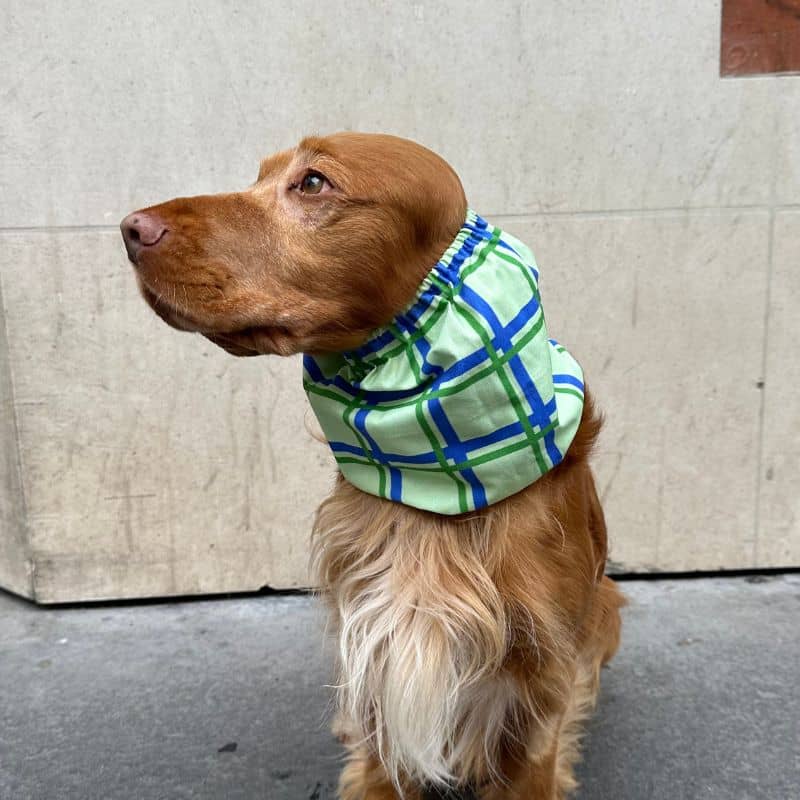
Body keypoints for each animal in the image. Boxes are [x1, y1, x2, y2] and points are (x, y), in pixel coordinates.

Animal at [120, 134, 624, 796]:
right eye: (259, 176)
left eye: (313, 182)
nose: (130, 228)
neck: (440, 475)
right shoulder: (377, 647)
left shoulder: (537, 686)